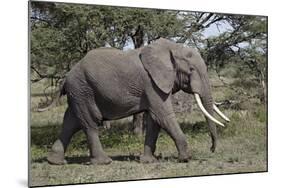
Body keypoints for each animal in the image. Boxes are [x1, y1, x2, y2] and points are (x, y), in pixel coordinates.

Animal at [46, 37, 229, 164]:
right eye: (191, 70)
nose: (211, 149)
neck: (172, 48)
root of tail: (66, 77)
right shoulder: (152, 83)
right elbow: (163, 116)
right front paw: (185, 159)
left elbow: (154, 119)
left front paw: (148, 161)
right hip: (83, 90)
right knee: (89, 122)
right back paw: (104, 162)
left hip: (79, 92)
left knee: (71, 122)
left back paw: (55, 162)